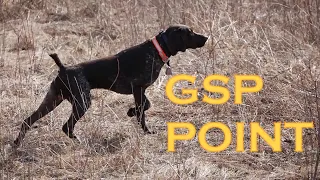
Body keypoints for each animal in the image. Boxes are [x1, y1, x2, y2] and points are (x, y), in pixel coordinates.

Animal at [13, 24, 208, 147]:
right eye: (190, 33)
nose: (206, 37)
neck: (156, 49)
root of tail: (64, 68)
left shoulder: (140, 90)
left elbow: (146, 105)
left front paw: (131, 112)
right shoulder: (138, 88)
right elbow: (143, 109)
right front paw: (142, 125)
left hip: (53, 99)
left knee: (27, 121)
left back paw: (16, 144)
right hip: (82, 102)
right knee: (66, 127)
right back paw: (80, 141)